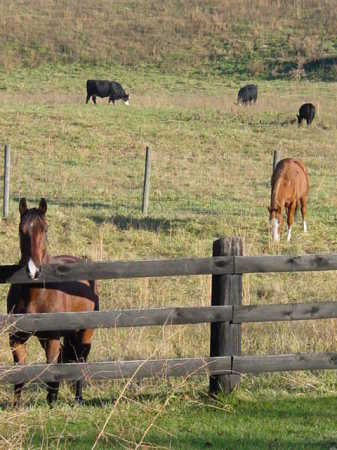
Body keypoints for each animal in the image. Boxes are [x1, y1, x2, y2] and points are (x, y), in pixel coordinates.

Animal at [7, 199, 98, 406]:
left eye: (45, 229)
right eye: (21, 230)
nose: (33, 271)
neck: (36, 294)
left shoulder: (52, 338)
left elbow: (50, 368)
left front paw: (51, 401)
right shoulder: (16, 338)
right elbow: (19, 371)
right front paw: (16, 405)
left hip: (85, 332)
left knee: (80, 359)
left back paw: (78, 398)